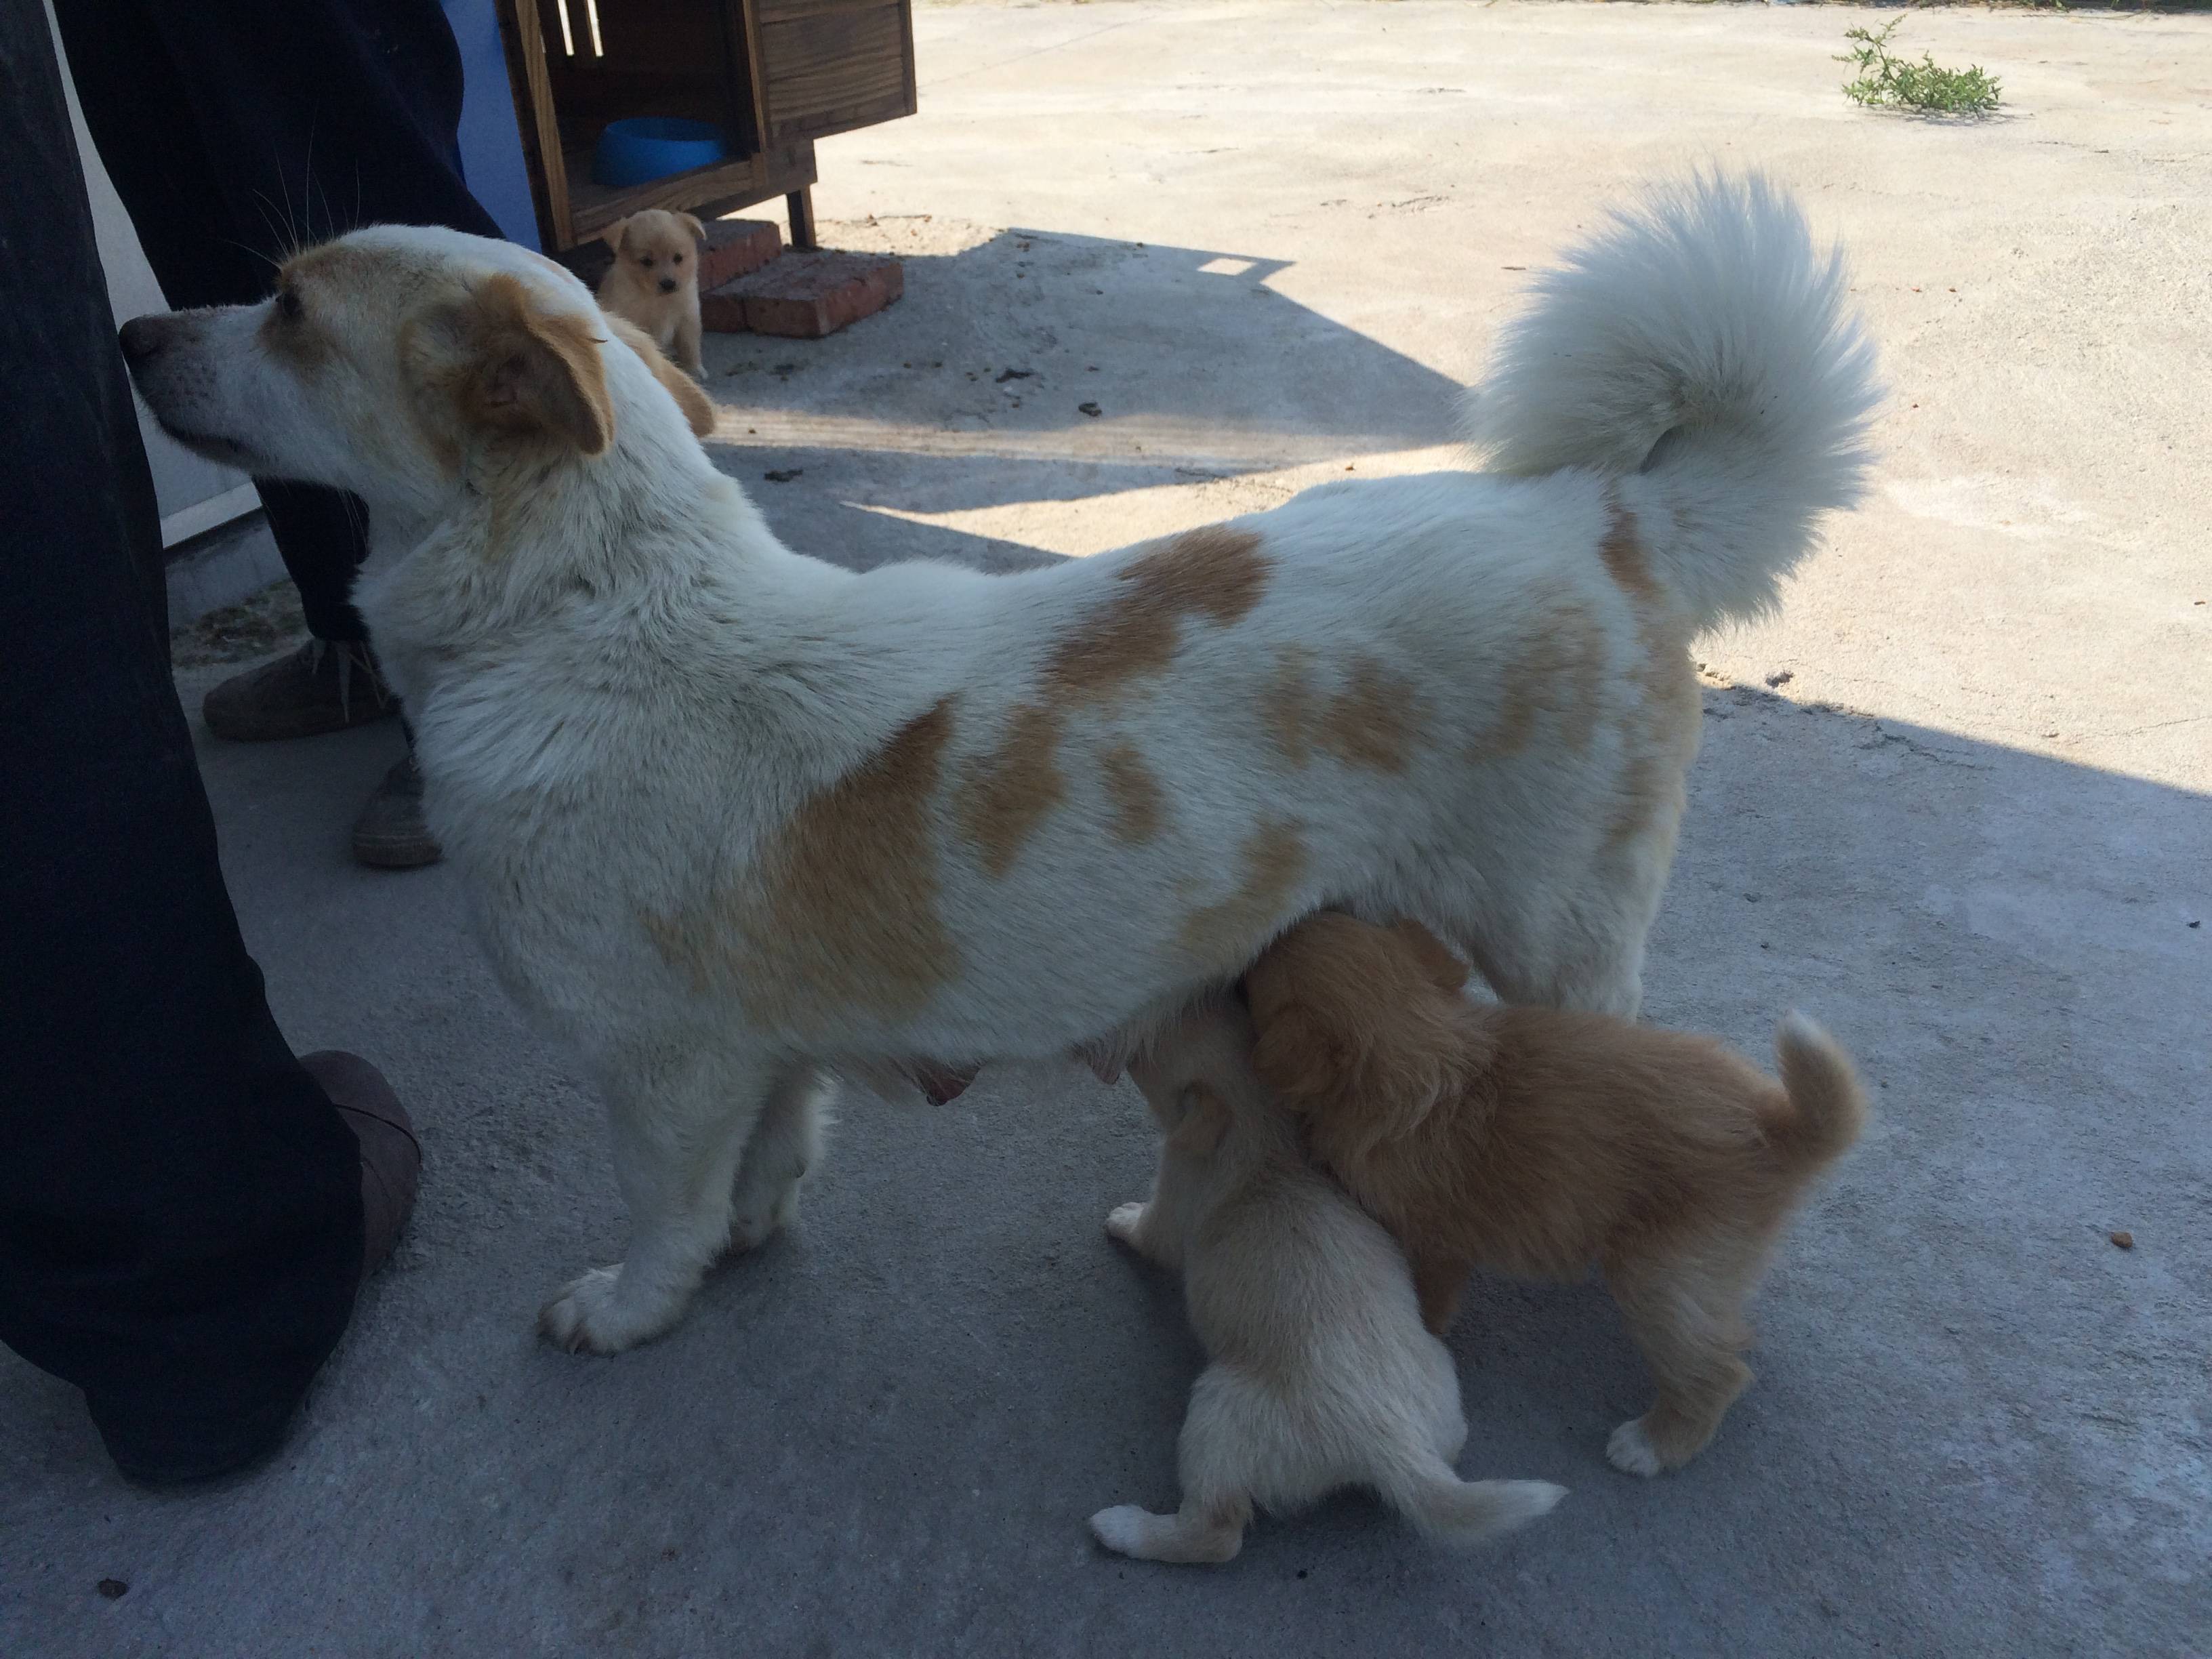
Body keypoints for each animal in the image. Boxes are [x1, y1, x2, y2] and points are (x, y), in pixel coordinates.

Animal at [595, 210, 706, 378]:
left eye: (678, 258)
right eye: (646, 261)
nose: (669, 284)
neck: (657, 299)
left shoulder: (688, 317)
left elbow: (689, 346)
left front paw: (694, 370)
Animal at [1093, 998, 1565, 1563]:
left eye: (1148, 1053)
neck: (1265, 1140)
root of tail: (1396, 1444)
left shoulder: (1175, 1190)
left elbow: (1149, 1233)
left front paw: (1121, 1219)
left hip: (1218, 1412)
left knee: (1216, 1533)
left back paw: (1123, 1527)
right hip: (1438, 1385)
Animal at [1242, 912, 1870, 1476]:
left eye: (1261, 975)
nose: (1257, 946)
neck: (1429, 1052)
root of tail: (1778, 1126)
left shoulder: (1431, 1243)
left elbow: (1428, 1301)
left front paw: (1422, 1333)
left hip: (1661, 1279)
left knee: (1716, 1373)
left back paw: (1652, 1446)